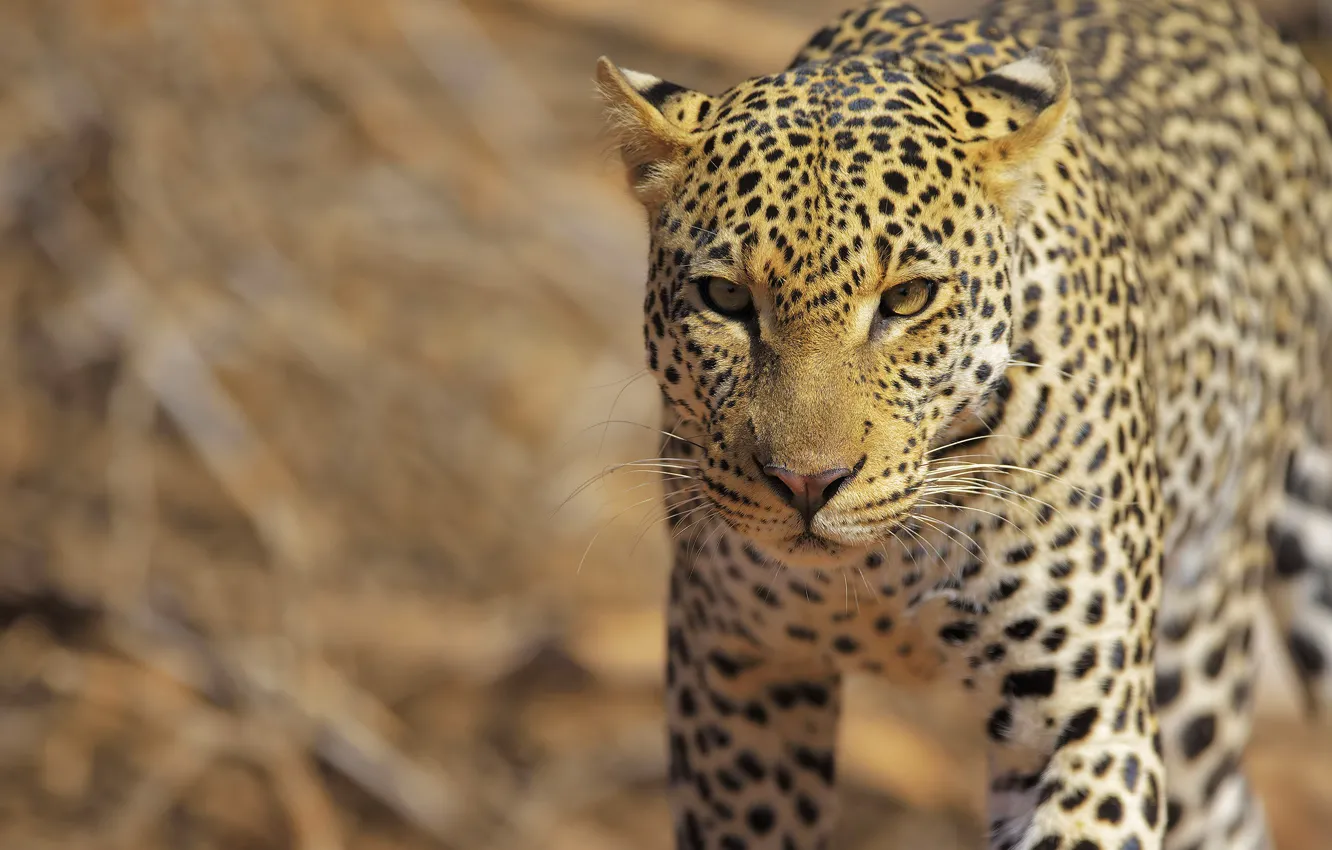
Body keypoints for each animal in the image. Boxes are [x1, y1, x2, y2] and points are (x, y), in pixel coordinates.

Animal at [593, 1, 1332, 848]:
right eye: (724, 298)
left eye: (908, 299)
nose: (807, 484)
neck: (881, 566)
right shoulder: (737, 680)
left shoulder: (1087, 722)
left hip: (1200, 642)